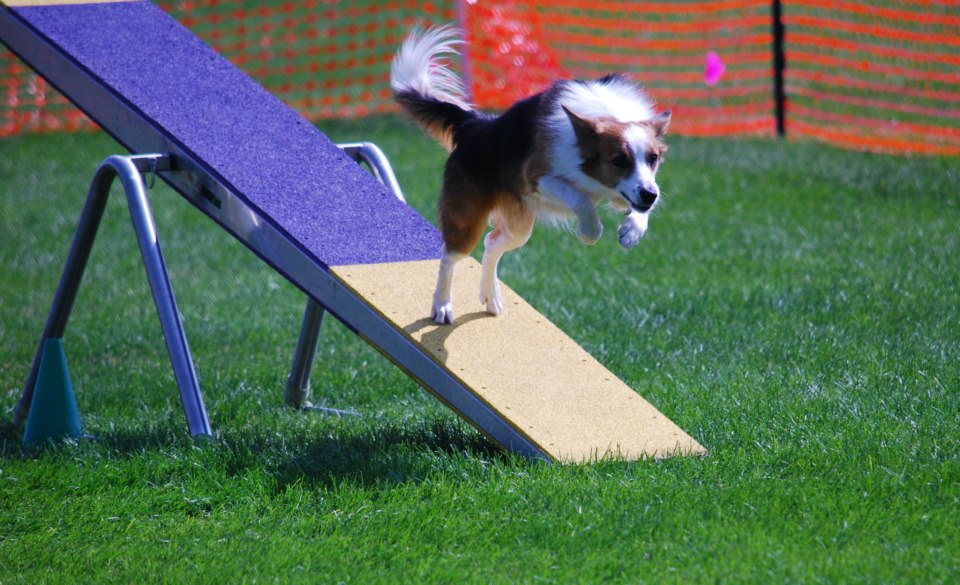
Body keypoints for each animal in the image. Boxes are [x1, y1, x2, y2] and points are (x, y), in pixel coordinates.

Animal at [388, 26, 668, 324]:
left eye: (652, 158)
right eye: (618, 161)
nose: (649, 196)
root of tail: (474, 125)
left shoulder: (637, 189)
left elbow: (637, 205)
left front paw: (632, 231)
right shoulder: (536, 177)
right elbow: (580, 198)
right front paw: (590, 231)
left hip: (519, 227)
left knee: (492, 243)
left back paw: (491, 298)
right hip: (467, 219)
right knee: (449, 255)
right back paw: (442, 305)